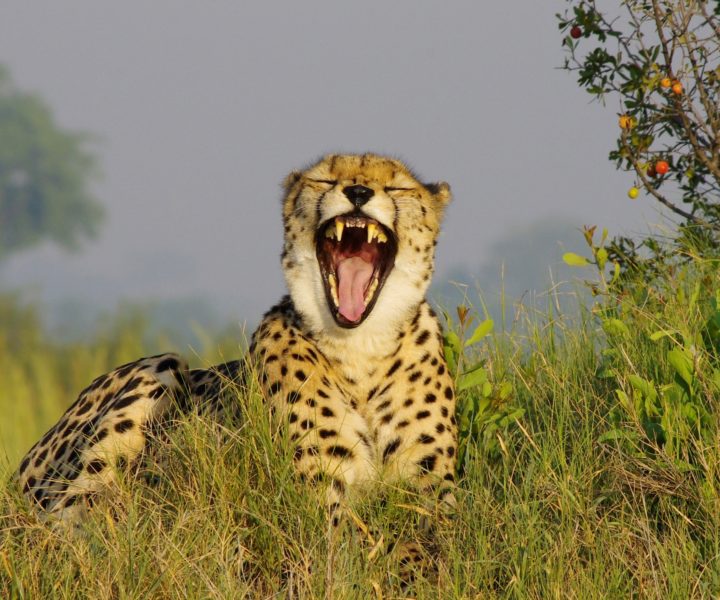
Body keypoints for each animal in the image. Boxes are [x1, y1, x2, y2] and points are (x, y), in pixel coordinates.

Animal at [15, 155, 456, 536]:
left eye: (396, 186)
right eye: (326, 180)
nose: (359, 192)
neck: (360, 345)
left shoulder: (433, 491)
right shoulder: (320, 494)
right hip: (159, 369)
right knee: (64, 523)